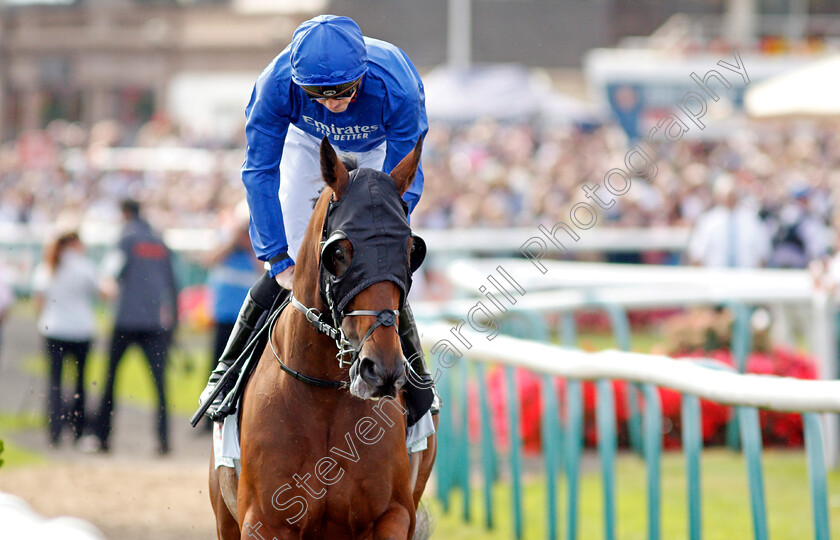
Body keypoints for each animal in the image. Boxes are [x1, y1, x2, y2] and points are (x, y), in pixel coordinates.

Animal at [210, 137, 440, 536]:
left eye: (411, 249)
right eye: (338, 252)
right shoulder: (263, 521)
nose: (382, 370)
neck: (326, 395)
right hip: (225, 518)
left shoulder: (394, 514)